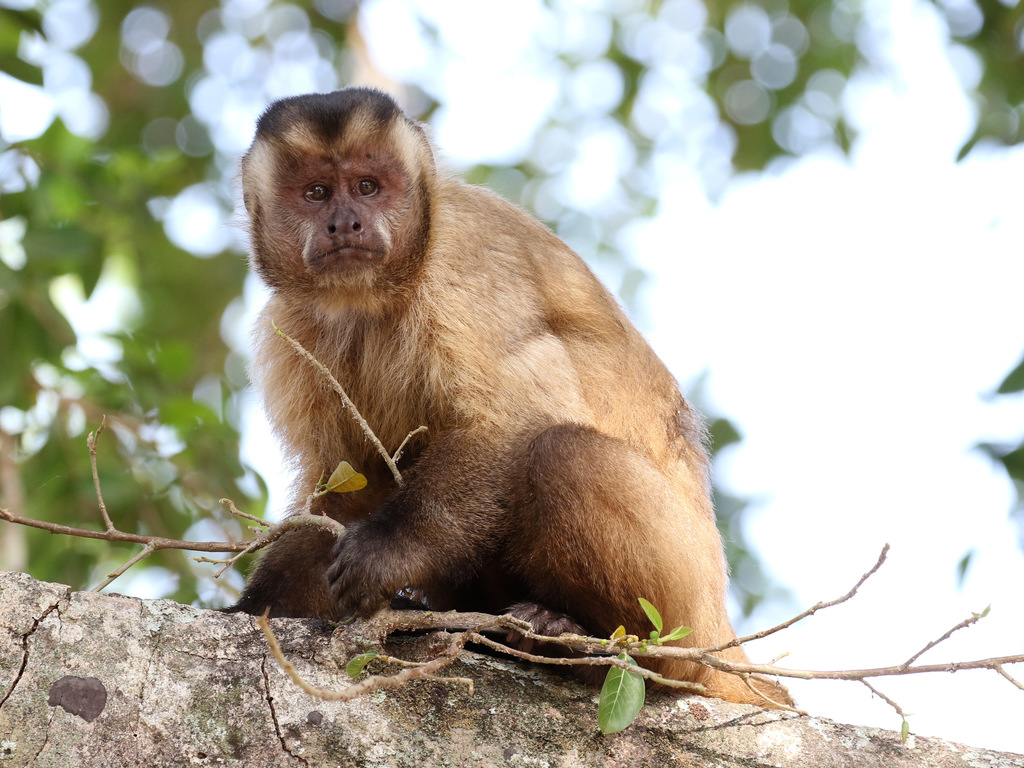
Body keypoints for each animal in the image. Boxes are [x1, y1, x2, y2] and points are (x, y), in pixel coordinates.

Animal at [234, 85, 790, 708]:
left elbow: (511, 421)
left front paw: (387, 551)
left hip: (687, 606)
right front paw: (254, 609)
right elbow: (346, 483)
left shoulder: (462, 263)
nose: (346, 222)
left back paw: (596, 647)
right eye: (317, 193)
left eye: (369, 187)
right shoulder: (290, 327)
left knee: (561, 453)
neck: (370, 300)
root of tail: (723, 633)